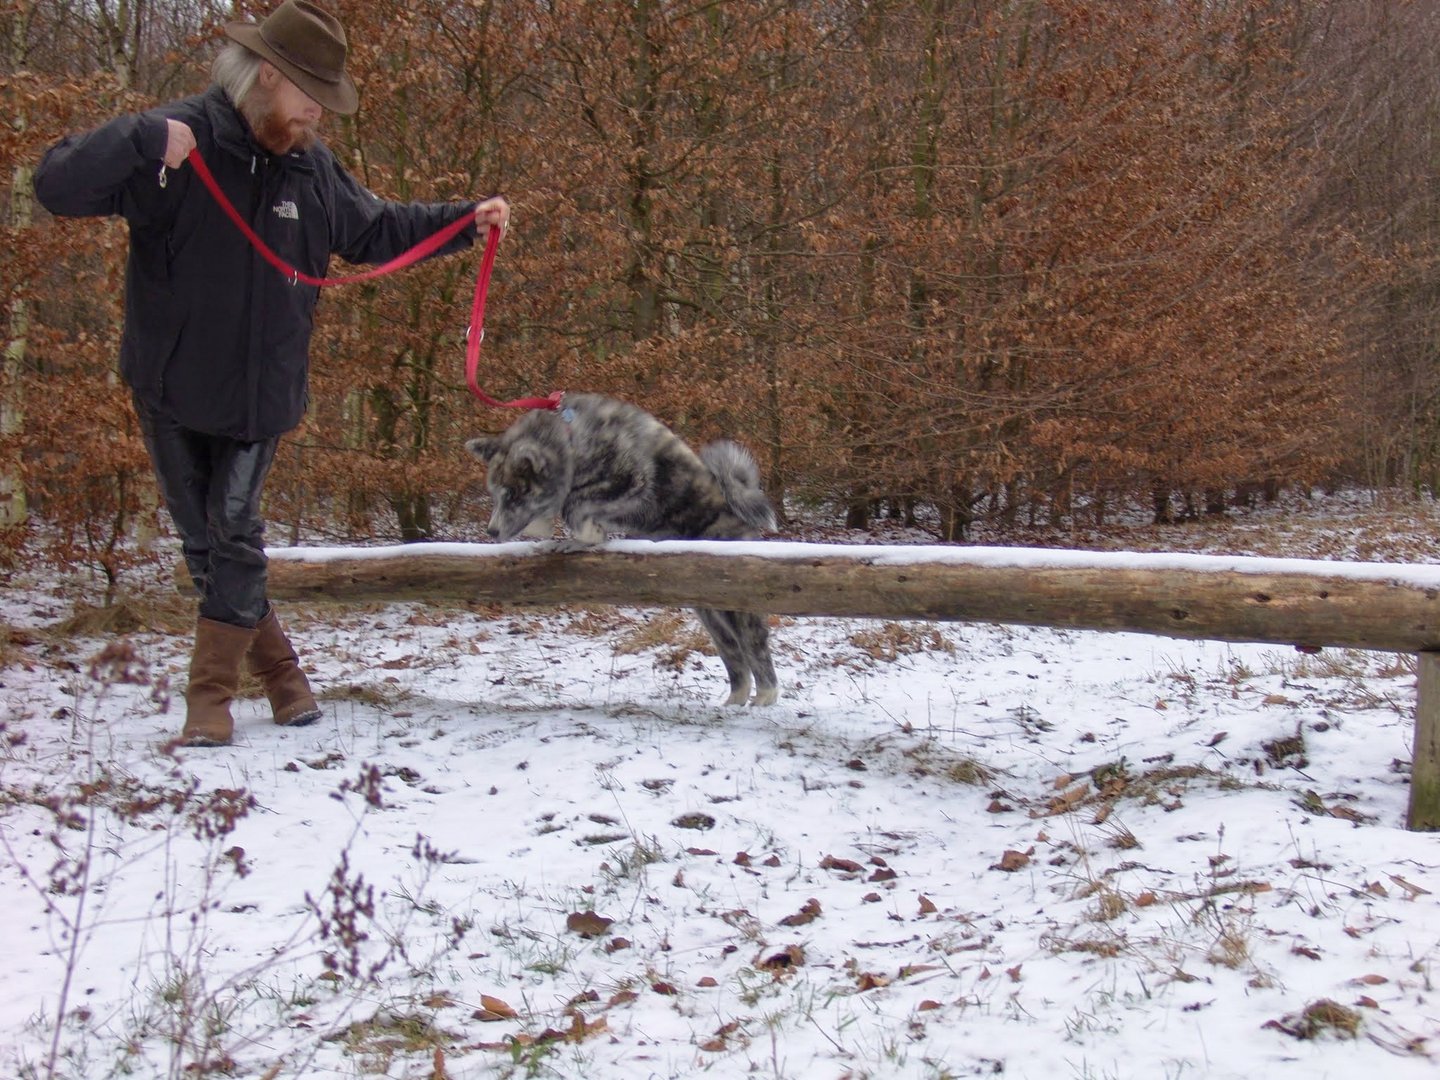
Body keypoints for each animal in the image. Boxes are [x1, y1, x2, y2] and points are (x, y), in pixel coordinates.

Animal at [463, 394, 783, 705]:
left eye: (513, 495)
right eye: (496, 494)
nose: (492, 531)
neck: (570, 439)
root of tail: (736, 514)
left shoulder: (629, 480)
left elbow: (576, 501)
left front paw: (585, 536)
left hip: (738, 609)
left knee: (755, 650)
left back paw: (765, 698)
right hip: (712, 615)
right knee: (735, 657)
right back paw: (735, 701)